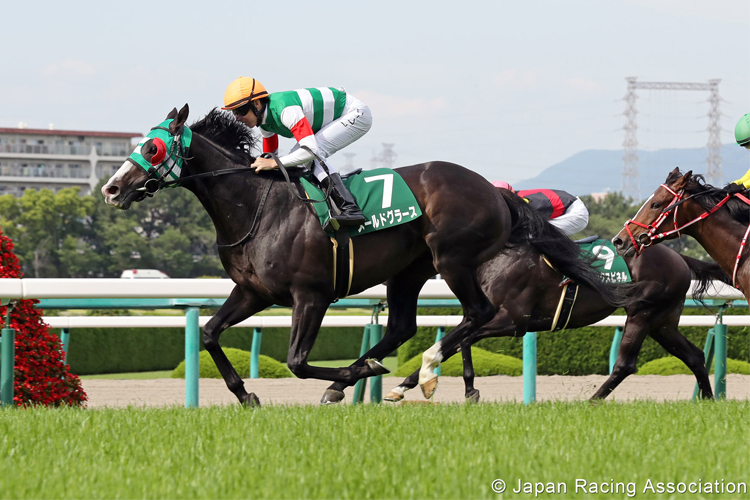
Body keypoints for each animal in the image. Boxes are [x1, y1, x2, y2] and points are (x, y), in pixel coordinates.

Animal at [101, 105, 636, 406]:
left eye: (153, 147)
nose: (111, 188)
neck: (258, 205)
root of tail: (494, 190)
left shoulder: (310, 294)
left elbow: (297, 361)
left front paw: (356, 374)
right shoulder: (254, 291)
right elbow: (212, 334)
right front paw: (246, 394)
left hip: (452, 259)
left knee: (477, 314)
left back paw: (417, 373)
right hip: (409, 272)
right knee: (405, 325)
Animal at [388, 189, 736, 404]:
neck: (502, 254)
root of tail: (681, 259)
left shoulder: (512, 321)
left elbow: (461, 343)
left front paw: (464, 389)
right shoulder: (482, 314)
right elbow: (453, 345)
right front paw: (406, 386)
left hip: (643, 314)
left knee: (625, 364)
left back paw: (591, 401)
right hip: (664, 322)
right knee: (693, 356)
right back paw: (707, 401)